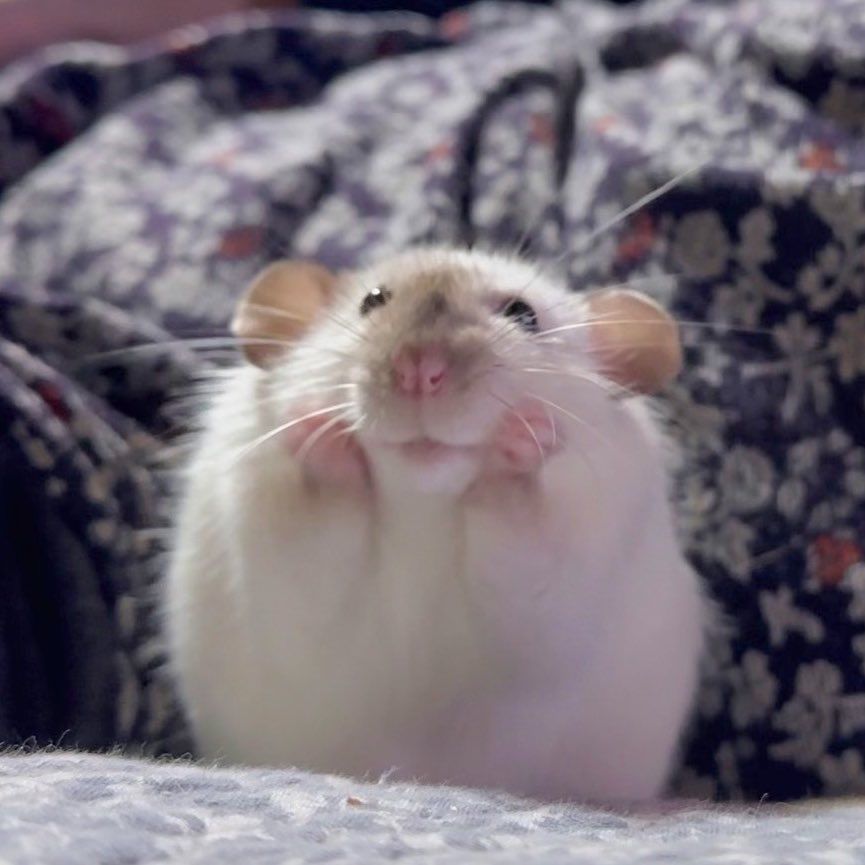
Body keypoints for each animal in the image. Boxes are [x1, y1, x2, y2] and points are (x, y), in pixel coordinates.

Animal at [165, 247, 706, 803]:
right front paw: (325, 442)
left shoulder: (577, 548)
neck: (420, 501)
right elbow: (308, 571)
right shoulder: (273, 523)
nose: (419, 369)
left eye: (523, 315)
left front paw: (519, 450)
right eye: (371, 301)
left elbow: (527, 588)